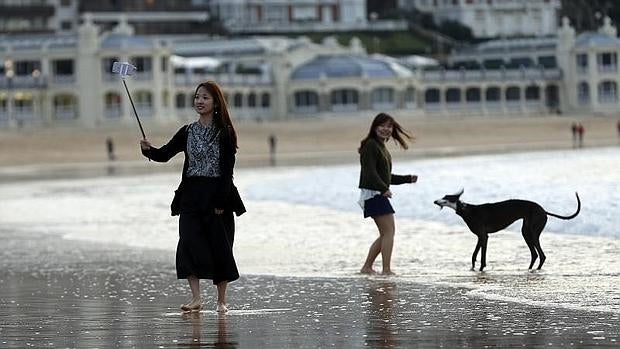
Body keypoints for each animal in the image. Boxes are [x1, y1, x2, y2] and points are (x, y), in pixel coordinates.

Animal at [434, 189, 580, 270]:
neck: (467, 210)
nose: (435, 201)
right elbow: (474, 255)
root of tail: (543, 210)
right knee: (535, 254)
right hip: (526, 232)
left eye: (446, 198)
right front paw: (473, 268)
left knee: (541, 255)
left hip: (533, 233)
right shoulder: (480, 237)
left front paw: (481, 268)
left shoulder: (484, 236)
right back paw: (529, 269)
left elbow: (481, 256)